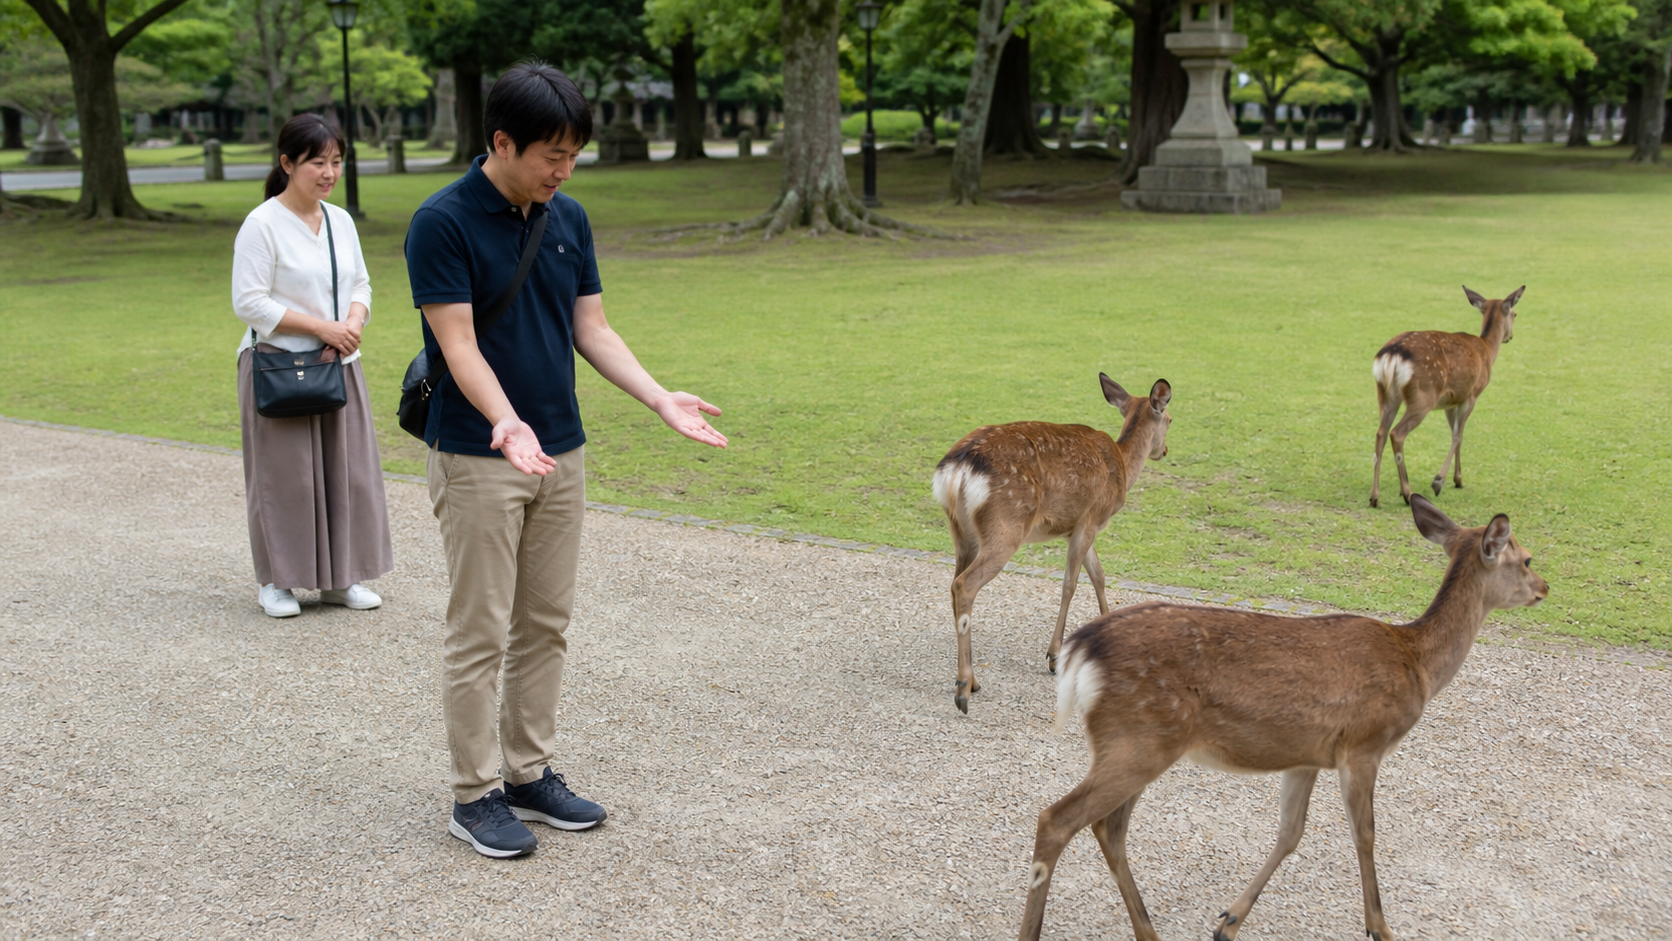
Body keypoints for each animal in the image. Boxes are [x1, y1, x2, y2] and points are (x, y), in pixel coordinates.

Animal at [932, 373, 1172, 715]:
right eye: (1170, 419)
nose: (1164, 451)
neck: (1124, 465)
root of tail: (957, 469)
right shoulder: (1091, 520)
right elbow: (1070, 583)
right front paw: (1054, 657)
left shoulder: (1079, 526)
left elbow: (1099, 576)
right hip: (1006, 526)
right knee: (964, 585)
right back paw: (964, 688)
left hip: (962, 532)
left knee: (953, 584)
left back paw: (971, 680)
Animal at [1017, 495, 1549, 941]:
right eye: (1525, 558)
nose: (1545, 586)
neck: (1417, 664)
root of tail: (1082, 648)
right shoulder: (1364, 745)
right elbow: (1365, 835)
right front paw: (1380, 928)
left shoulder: (1307, 756)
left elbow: (1290, 833)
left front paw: (1228, 921)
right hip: (1139, 739)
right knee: (1058, 819)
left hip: (1139, 743)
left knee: (1109, 828)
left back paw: (1148, 932)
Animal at [1370, 285, 1526, 508]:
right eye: (1515, 314)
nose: (1510, 337)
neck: (1487, 350)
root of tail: (1392, 355)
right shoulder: (1472, 394)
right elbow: (1458, 435)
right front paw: (1439, 481)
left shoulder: (1450, 402)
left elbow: (1456, 434)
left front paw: (1457, 479)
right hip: (1422, 397)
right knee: (1396, 433)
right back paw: (1407, 493)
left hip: (1385, 394)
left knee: (1380, 433)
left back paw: (1375, 496)